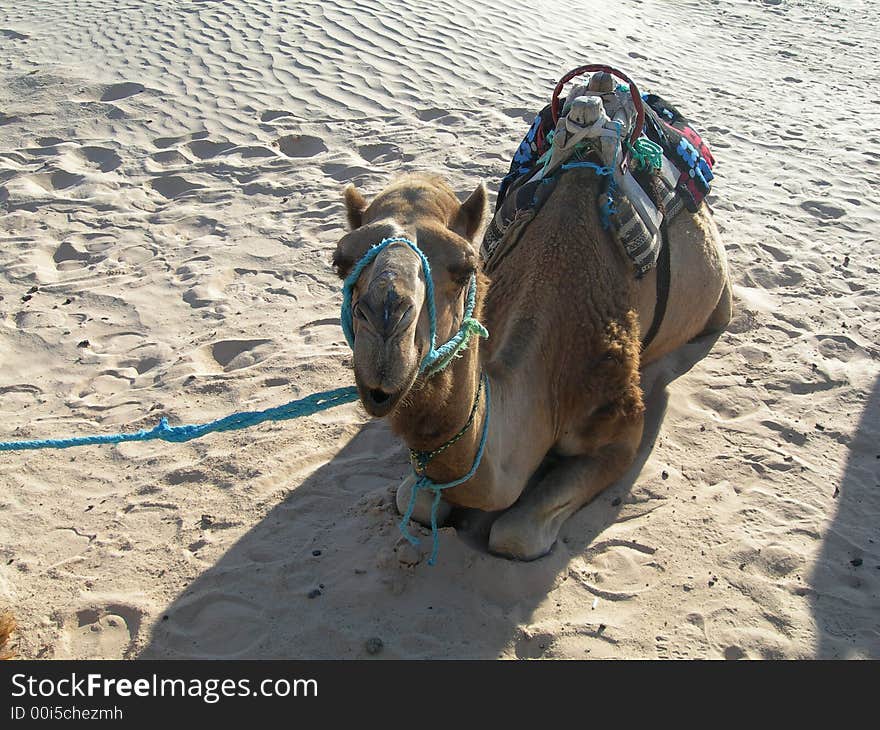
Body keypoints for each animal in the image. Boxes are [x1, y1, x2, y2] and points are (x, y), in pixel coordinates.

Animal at [334, 168, 732, 560]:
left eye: (465, 267)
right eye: (341, 263)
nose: (386, 325)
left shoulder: (619, 431)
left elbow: (515, 535)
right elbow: (411, 501)